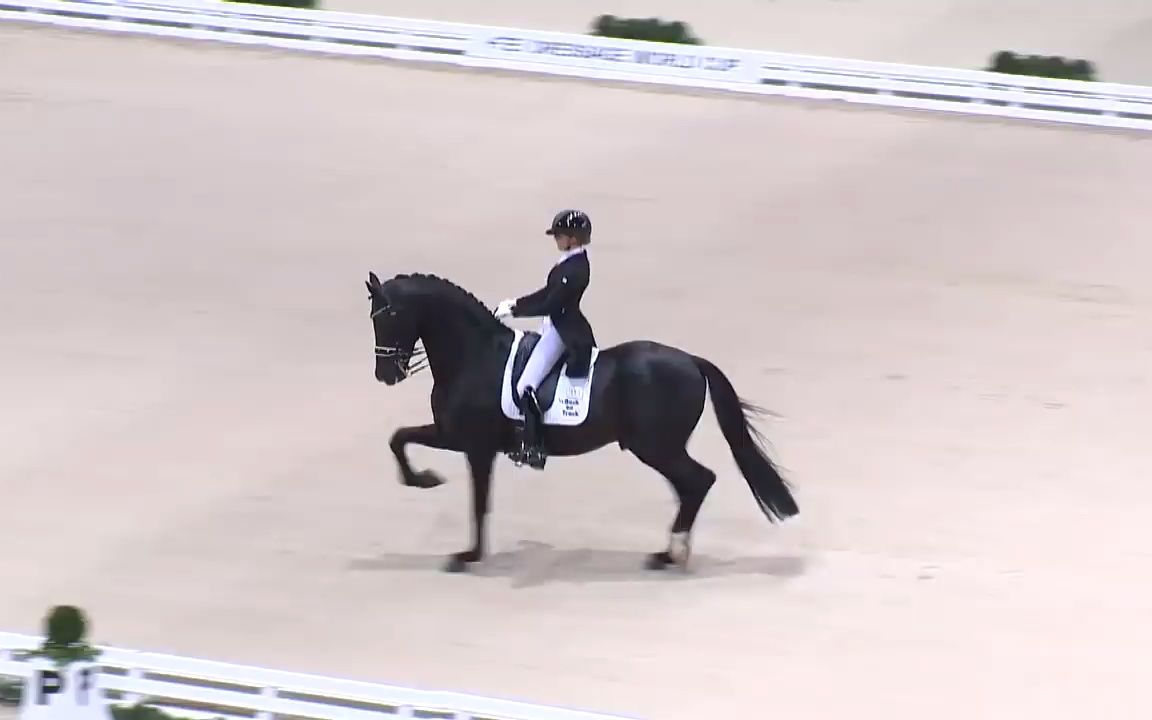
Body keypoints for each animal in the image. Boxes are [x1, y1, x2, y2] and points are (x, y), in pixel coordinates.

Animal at [365, 270, 799, 573]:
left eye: (390, 315)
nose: (385, 375)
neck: (475, 355)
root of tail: (692, 361)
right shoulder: (457, 437)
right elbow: (399, 438)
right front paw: (426, 482)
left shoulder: (473, 444)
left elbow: (476, 499)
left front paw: (467, 552)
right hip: (660, 448)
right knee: (691, 486)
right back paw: (668, 553)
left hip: (656, 447)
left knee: (698, 481)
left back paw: (672, 552)